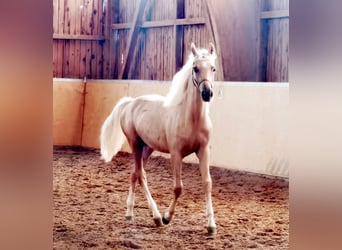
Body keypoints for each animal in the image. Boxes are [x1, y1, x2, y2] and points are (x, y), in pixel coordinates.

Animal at [99, 42, 216, 234]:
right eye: (195, 68)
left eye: (213, 68)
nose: (207, 93)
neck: (191, 118)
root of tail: (130, 103)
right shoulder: (176, 154)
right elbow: (178, 187)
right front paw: (167, 217)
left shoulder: (203, 151)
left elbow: (207, 183)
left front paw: (211, 225)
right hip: (135, 144)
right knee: (141, 175)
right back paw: (156, 217)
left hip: (148, 147)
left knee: (135, 173)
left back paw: (129, 213)